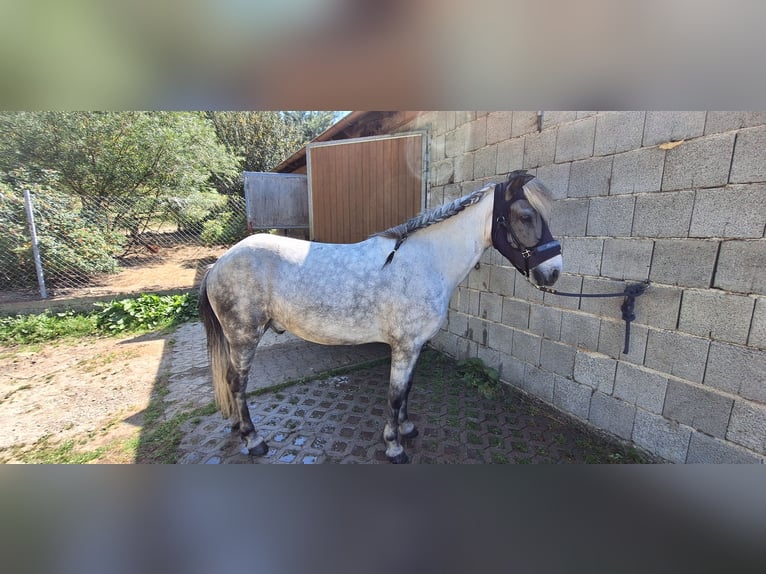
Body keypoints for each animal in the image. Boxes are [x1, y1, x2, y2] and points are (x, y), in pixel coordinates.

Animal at [198, 170, 562, 463]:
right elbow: (395, 394)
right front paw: (394, 446)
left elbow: (407, 390)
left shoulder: (414, 346)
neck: (426, 261)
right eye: (525, 216)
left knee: (232, 383)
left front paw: (407, 428)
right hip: (244, 336)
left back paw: (237, 426)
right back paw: (254, 440)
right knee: (238, 382)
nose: (553, 272)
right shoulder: (404, 347)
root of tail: (219, 264)